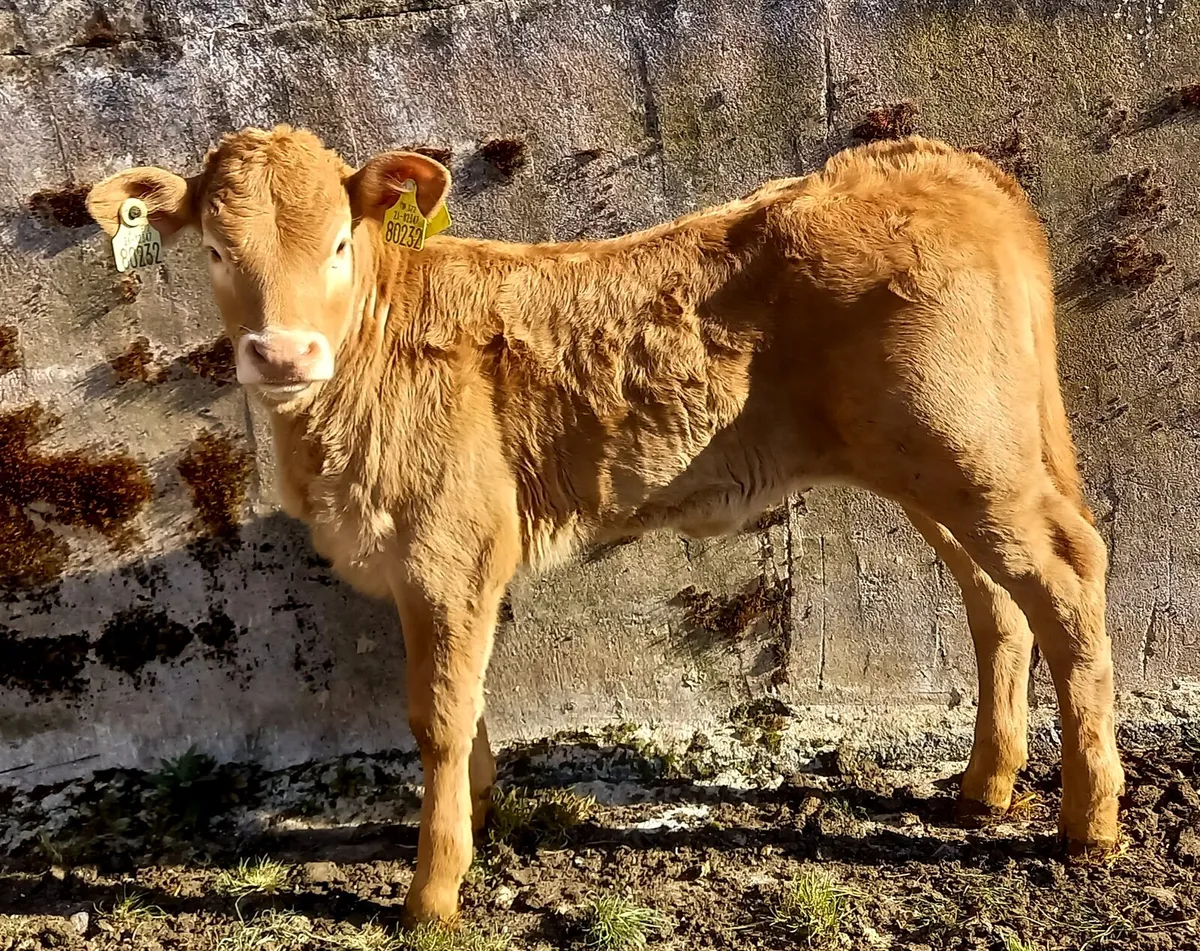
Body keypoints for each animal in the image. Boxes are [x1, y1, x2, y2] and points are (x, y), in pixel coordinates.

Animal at [87, 126, 1124, 923]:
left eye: (340, 242)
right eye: (216, 251)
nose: (284, 353)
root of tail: (932, 163)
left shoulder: (448, 549)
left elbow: (436, 713)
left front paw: (432, 892)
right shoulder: (442, 570)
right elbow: (465, 701)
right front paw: (483, 812)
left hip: (970, 452)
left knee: (1067, 576)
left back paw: (1090, 823)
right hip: (936, 467)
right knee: (994, 599)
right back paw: (984, 787)